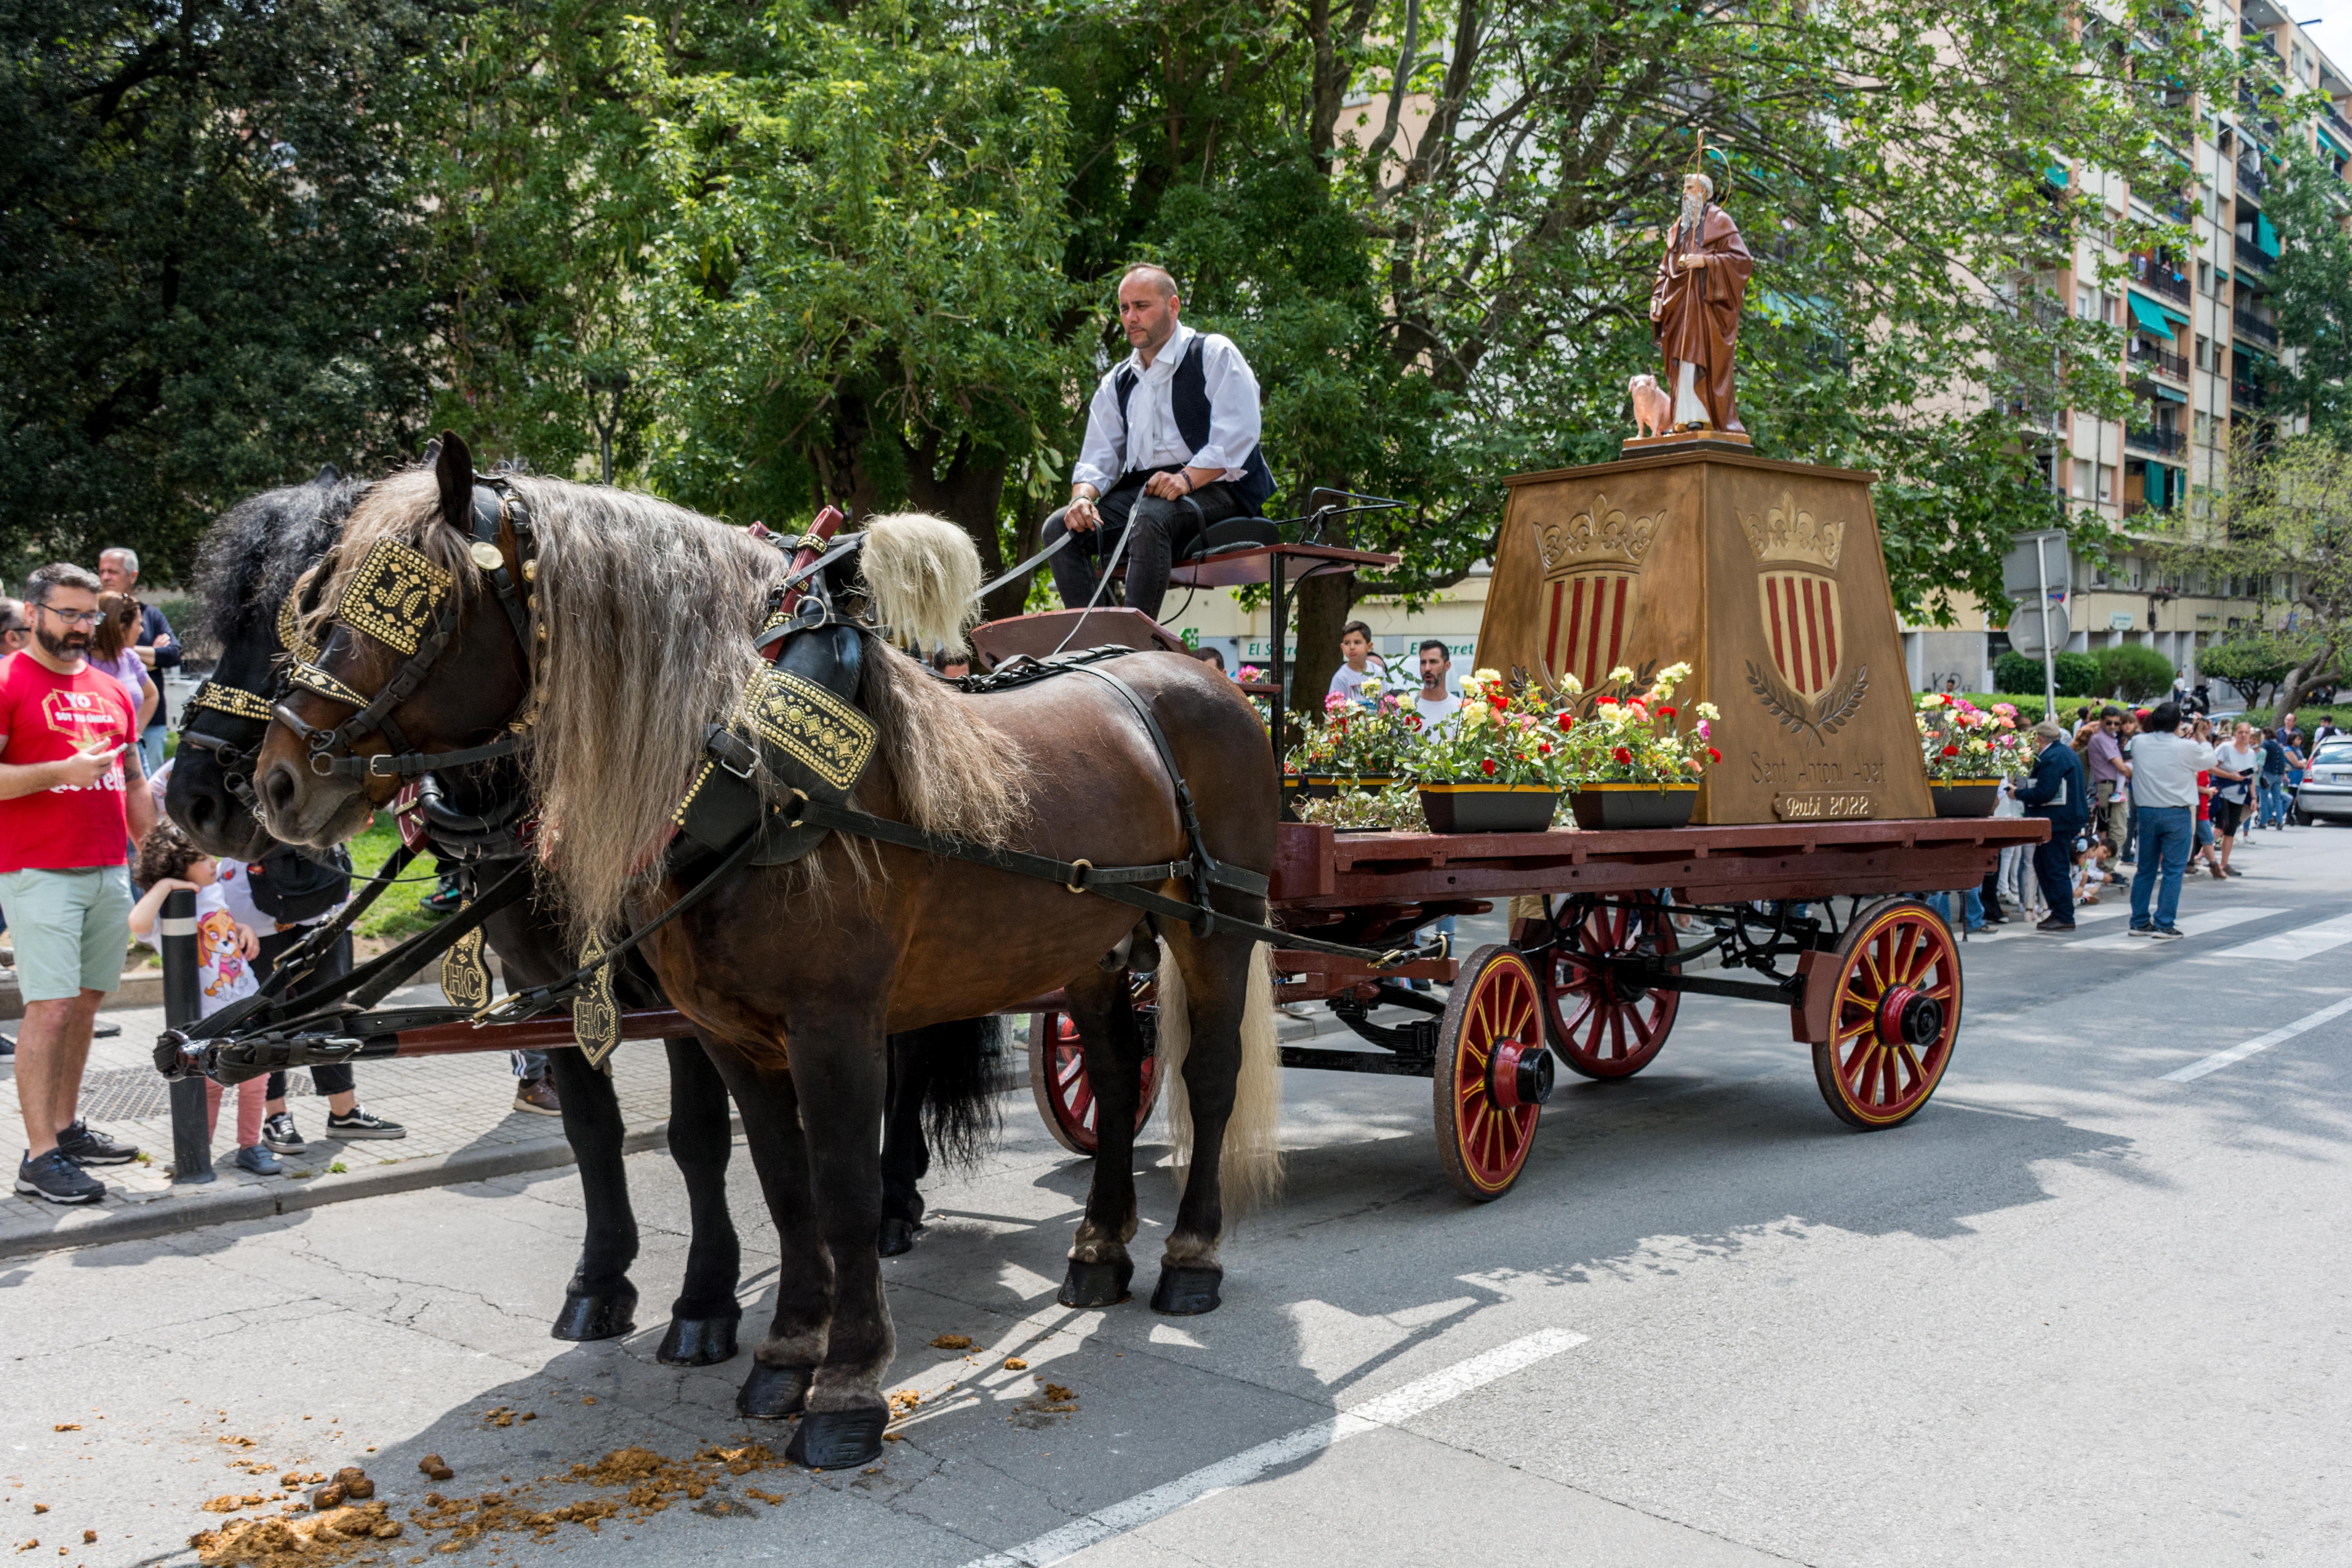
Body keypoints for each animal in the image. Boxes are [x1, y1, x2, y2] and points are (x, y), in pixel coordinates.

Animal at [253, 439, 1289, 1476]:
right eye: (324, 598)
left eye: (416, 601)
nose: (276, 781)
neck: (752, 765)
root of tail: (1190, 672)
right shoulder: (726, 1029)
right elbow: (785, 1185)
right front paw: (788, 1351)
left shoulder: (832, 1024)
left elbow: (841, 1187)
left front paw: (847, 1383)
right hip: (1089, 948)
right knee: (1114, 1076)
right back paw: (1099, 1249)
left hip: (1219, 926)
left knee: (1208, 1075)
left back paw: (1190, 1256)